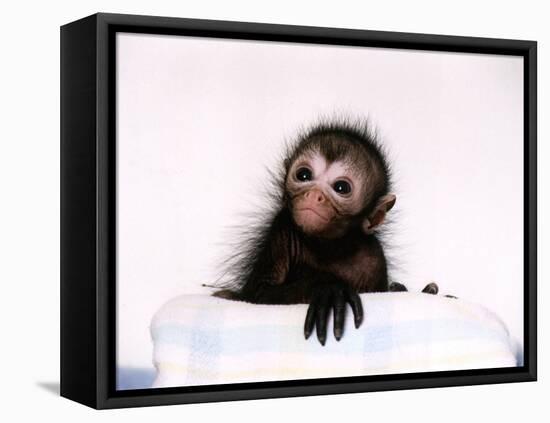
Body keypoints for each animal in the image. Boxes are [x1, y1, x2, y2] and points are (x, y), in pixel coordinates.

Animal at [215, 119, 440, 344]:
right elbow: (258, 294)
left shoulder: (375, 257)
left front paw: (414, 290)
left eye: (341, 187)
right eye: (303, 175)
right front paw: (327, 288)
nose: (314, 195)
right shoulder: (281, 228)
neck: (329, 246)